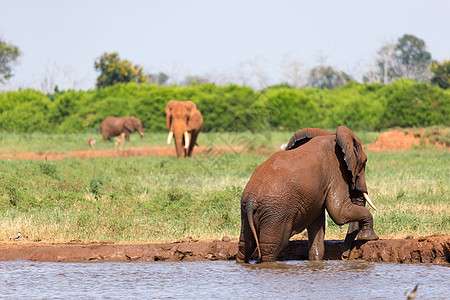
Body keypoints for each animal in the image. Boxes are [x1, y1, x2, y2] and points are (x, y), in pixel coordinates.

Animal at [237, 126, 378, 262]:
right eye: (365, 162)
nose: (343, 257)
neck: (332, 136)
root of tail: (251, 201)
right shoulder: (336, 173)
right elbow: (339, 212)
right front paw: (369, 237)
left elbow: (318, 226)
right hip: (276, 213)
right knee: (271, 248)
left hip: (247, 211)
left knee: (245, 246)